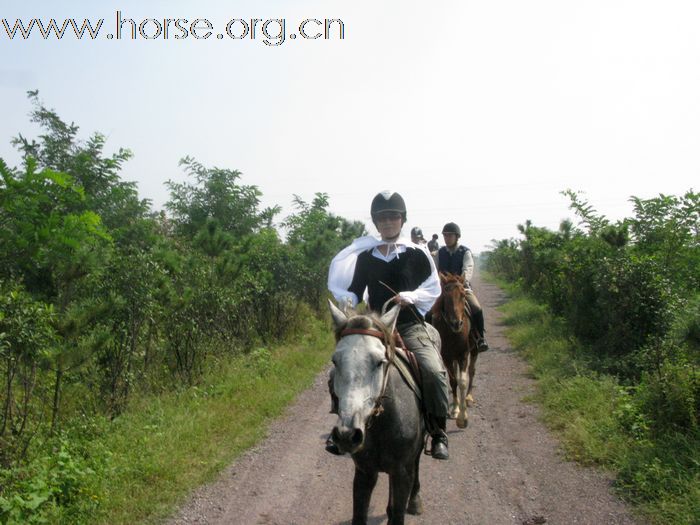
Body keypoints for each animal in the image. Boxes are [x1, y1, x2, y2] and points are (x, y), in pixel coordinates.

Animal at [330, 298, 424, 524]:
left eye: (380, 362)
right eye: (335, 361)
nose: (347, 435)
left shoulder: (402, 473)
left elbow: (398, 515)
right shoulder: (365, 472)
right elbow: (359, 515)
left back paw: (415, 501)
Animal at [430, 272, 478, 428]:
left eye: (462, 295)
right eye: (446, 297)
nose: (457, 323)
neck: (453, 333)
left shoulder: (463, 354)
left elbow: (462, 381)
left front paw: (463, 418)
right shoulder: (447, 356)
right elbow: (453, 381)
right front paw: (456, 410)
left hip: (474, 351)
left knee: (471, 371)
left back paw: (468, 397)